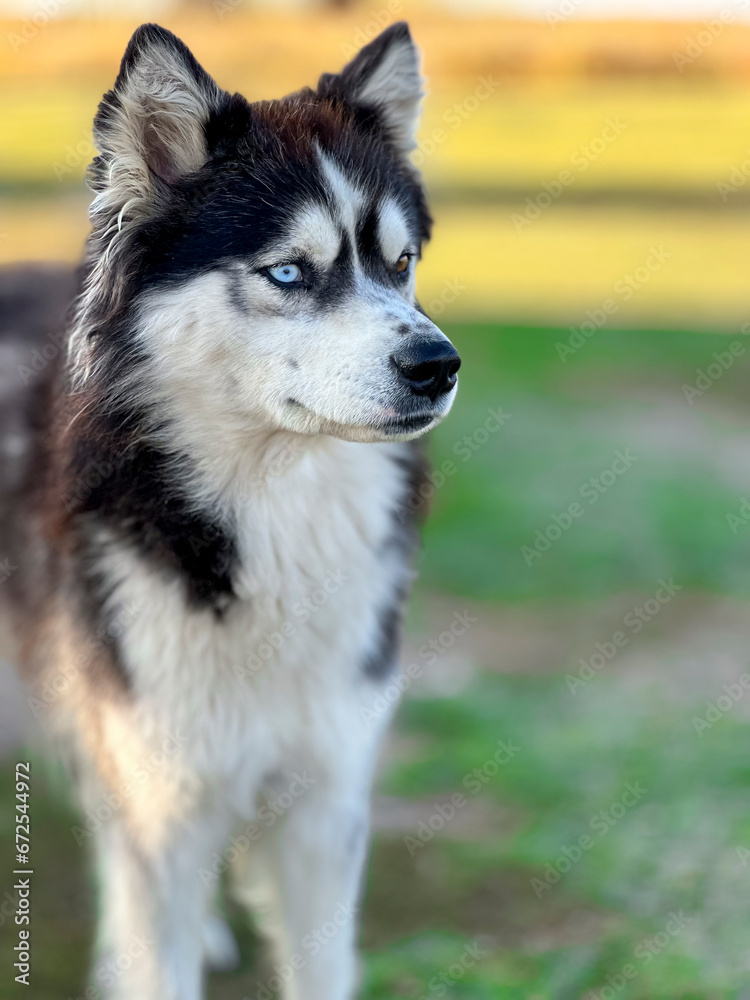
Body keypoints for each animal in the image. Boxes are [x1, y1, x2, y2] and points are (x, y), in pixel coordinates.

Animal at [1, 23, 458, 1000]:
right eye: (288, 271)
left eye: (401, 264)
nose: (439, 365)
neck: (277, 519)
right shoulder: (163, 796)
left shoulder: (327, 801)